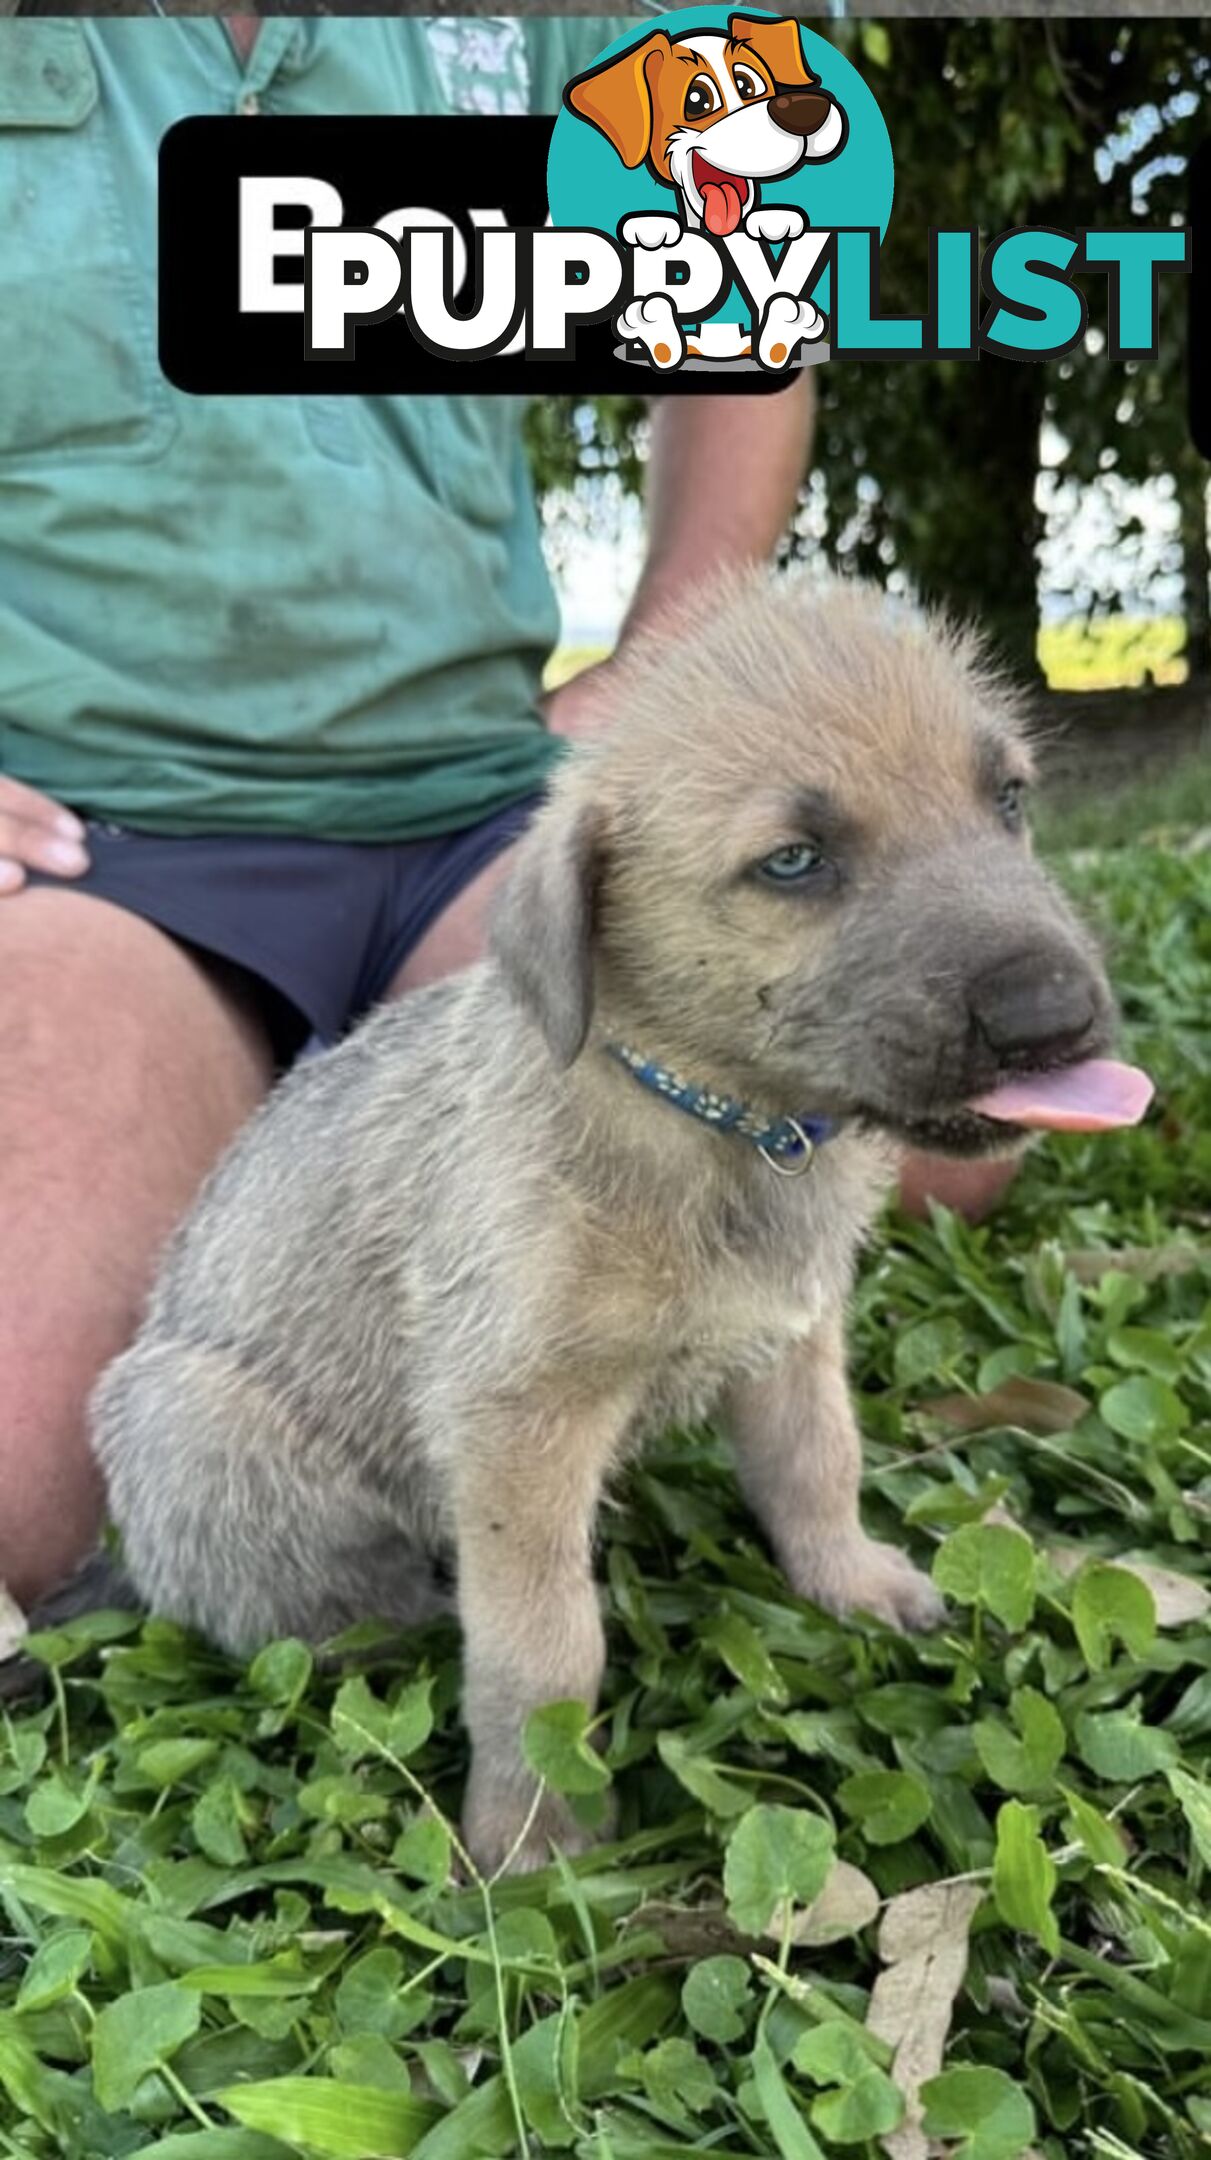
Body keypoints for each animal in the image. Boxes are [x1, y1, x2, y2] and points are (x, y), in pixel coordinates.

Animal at [92, 574, 1131, 1874]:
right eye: (793, 861)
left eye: (1006, 800)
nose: (1058, 1017)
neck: (716, 1123)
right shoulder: (516, 1422)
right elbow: (541, 1642)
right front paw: (532, 1830)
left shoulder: (791, 1340)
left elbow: (816, 1468)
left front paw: (851, 1582)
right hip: (191, 1423)